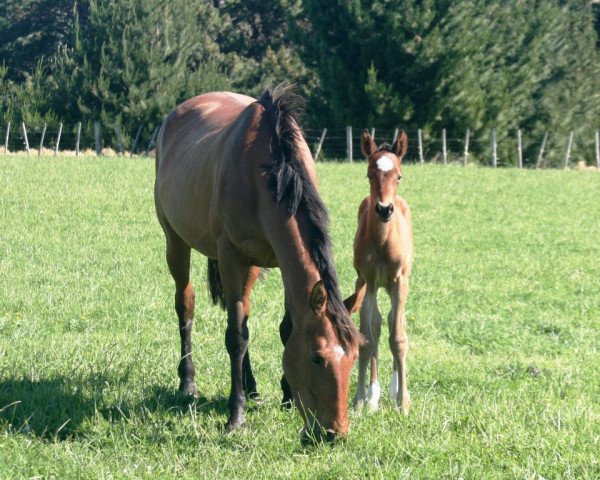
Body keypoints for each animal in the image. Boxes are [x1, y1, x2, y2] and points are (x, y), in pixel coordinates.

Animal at [156, 84, 360, 440]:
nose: (334, 432)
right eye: (317, 358)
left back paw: (251, 388)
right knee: (186, 305)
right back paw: (188, 383)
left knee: (242, 313)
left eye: (354, 357)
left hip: (251, 266)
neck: (267, 172)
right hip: (177, 242)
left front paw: (287, 397)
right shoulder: (230, 255)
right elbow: (235, 336)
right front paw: (235, 415)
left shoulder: (276, 260)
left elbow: (284, 327)